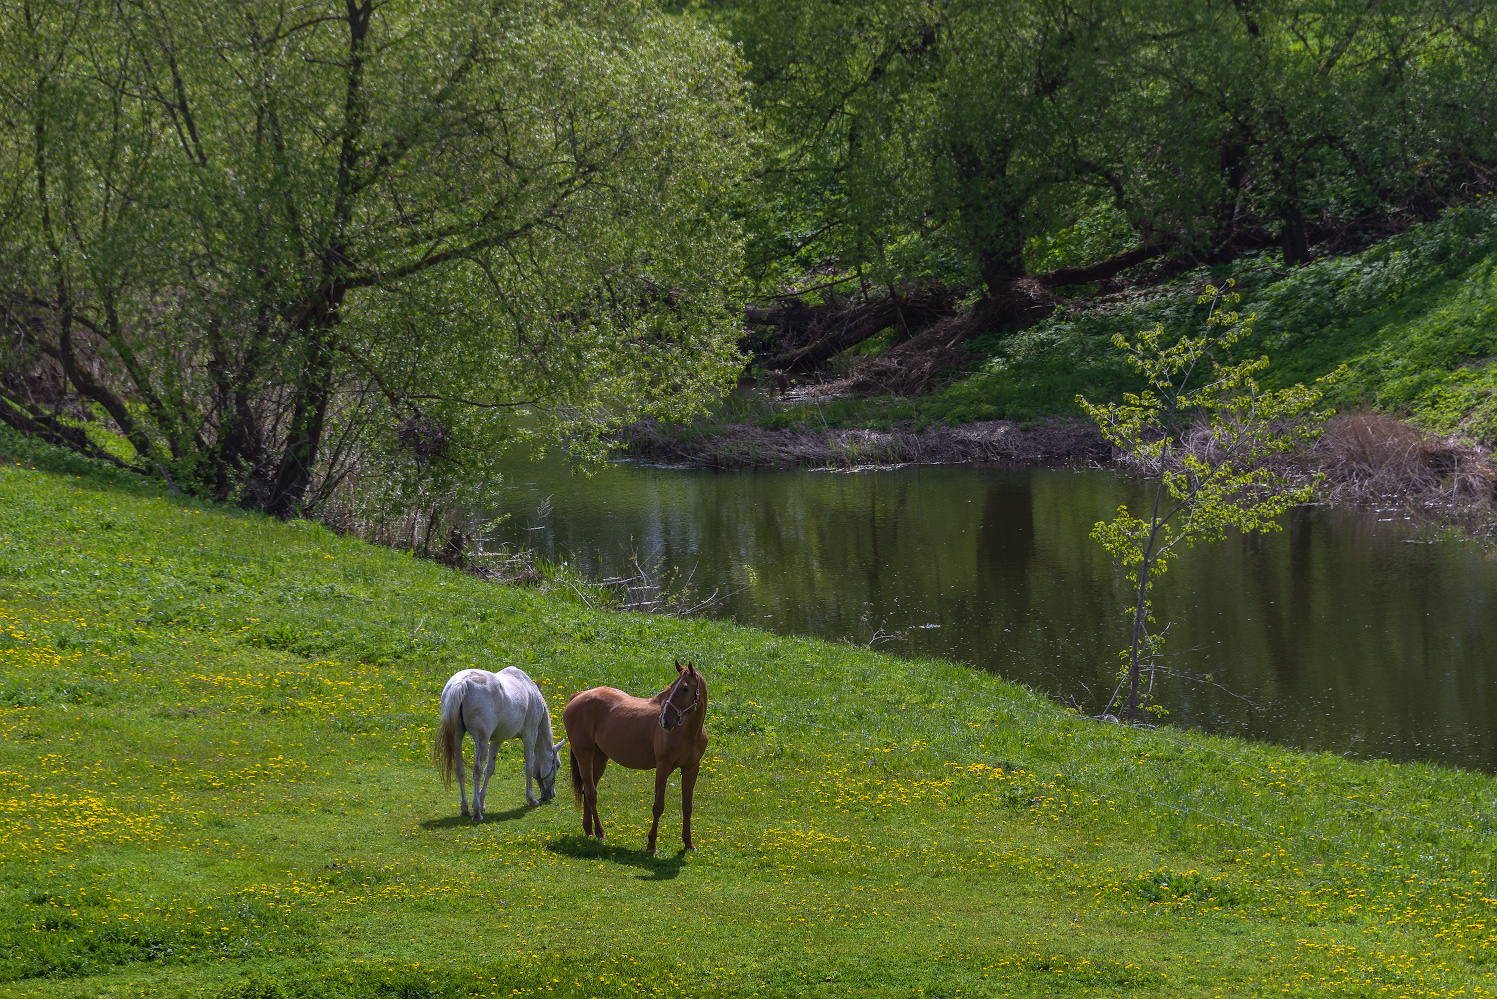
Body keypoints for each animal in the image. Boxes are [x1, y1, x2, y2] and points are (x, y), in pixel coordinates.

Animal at [437, 667, 568, 826]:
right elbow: (529, 767)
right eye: (557, 765)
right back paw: (476, 813)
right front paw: (531, 799)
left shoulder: (497, 740)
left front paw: (482, 802)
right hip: (481, 739)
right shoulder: (530, 734)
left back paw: (465, 809)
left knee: (460, 770)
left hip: (457, 736)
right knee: (477, 770)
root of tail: (463, 682)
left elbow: (489, 769)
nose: (551, 794)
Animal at [562, 665, 709, 850]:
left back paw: (589, 830)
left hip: (600, 758)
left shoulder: (691, 768)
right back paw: (601, 833)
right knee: (590, 793)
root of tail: (579, 695)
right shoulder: (663, 767)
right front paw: (651, 844)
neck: (688, 732)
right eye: (672, 686)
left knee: (588, 790)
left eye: (685, 688)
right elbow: (658, 806)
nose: (664, 721)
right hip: (584, 756)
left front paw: (689, 843)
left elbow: (687, 806)